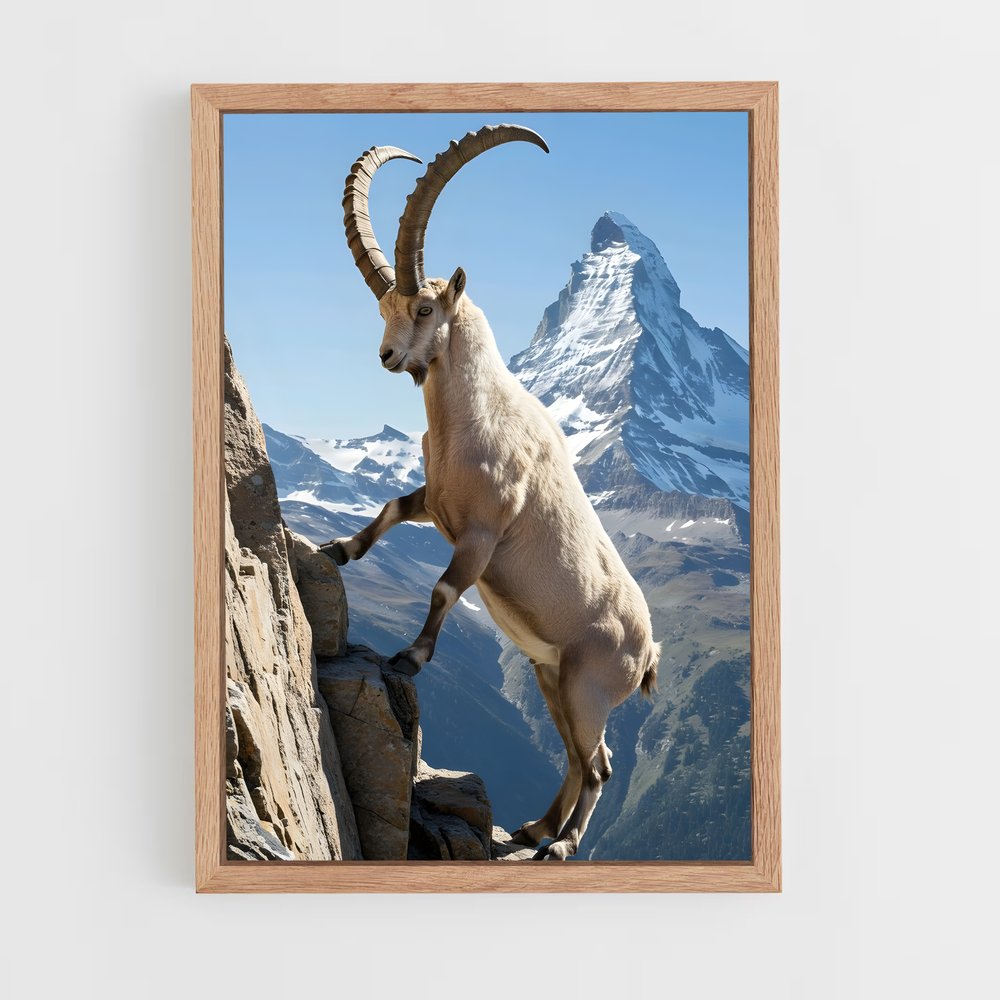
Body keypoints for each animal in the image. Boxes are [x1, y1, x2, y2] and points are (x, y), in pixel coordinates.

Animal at [324, 125, 661, 860]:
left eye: (424, 307)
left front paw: (410, 657)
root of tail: (649, 651)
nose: (388, 358)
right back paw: (537, 827)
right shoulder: (438, 503)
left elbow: (445, 588)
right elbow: (391, 509)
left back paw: (561, 844)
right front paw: (336, 550)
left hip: (589, 686)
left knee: (599, 766)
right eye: (385, 307)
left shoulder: (482, 533)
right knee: (579, 758)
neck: (473, 419)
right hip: (550, 676)